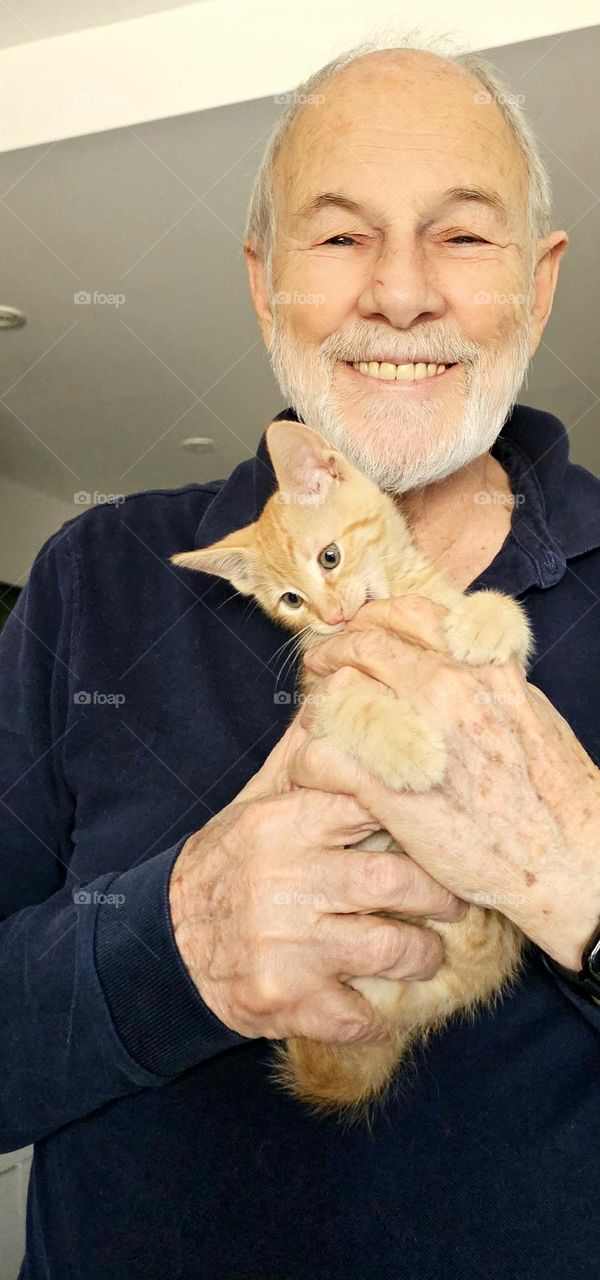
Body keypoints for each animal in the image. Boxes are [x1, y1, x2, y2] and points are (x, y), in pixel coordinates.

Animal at [170, 419, 529, 1121]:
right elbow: (355, 707)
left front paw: (485, 620)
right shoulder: (322, 703)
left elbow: (501, 629)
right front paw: (410, 752)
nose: (332, 616)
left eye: (330, 558)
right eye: (290, 600)